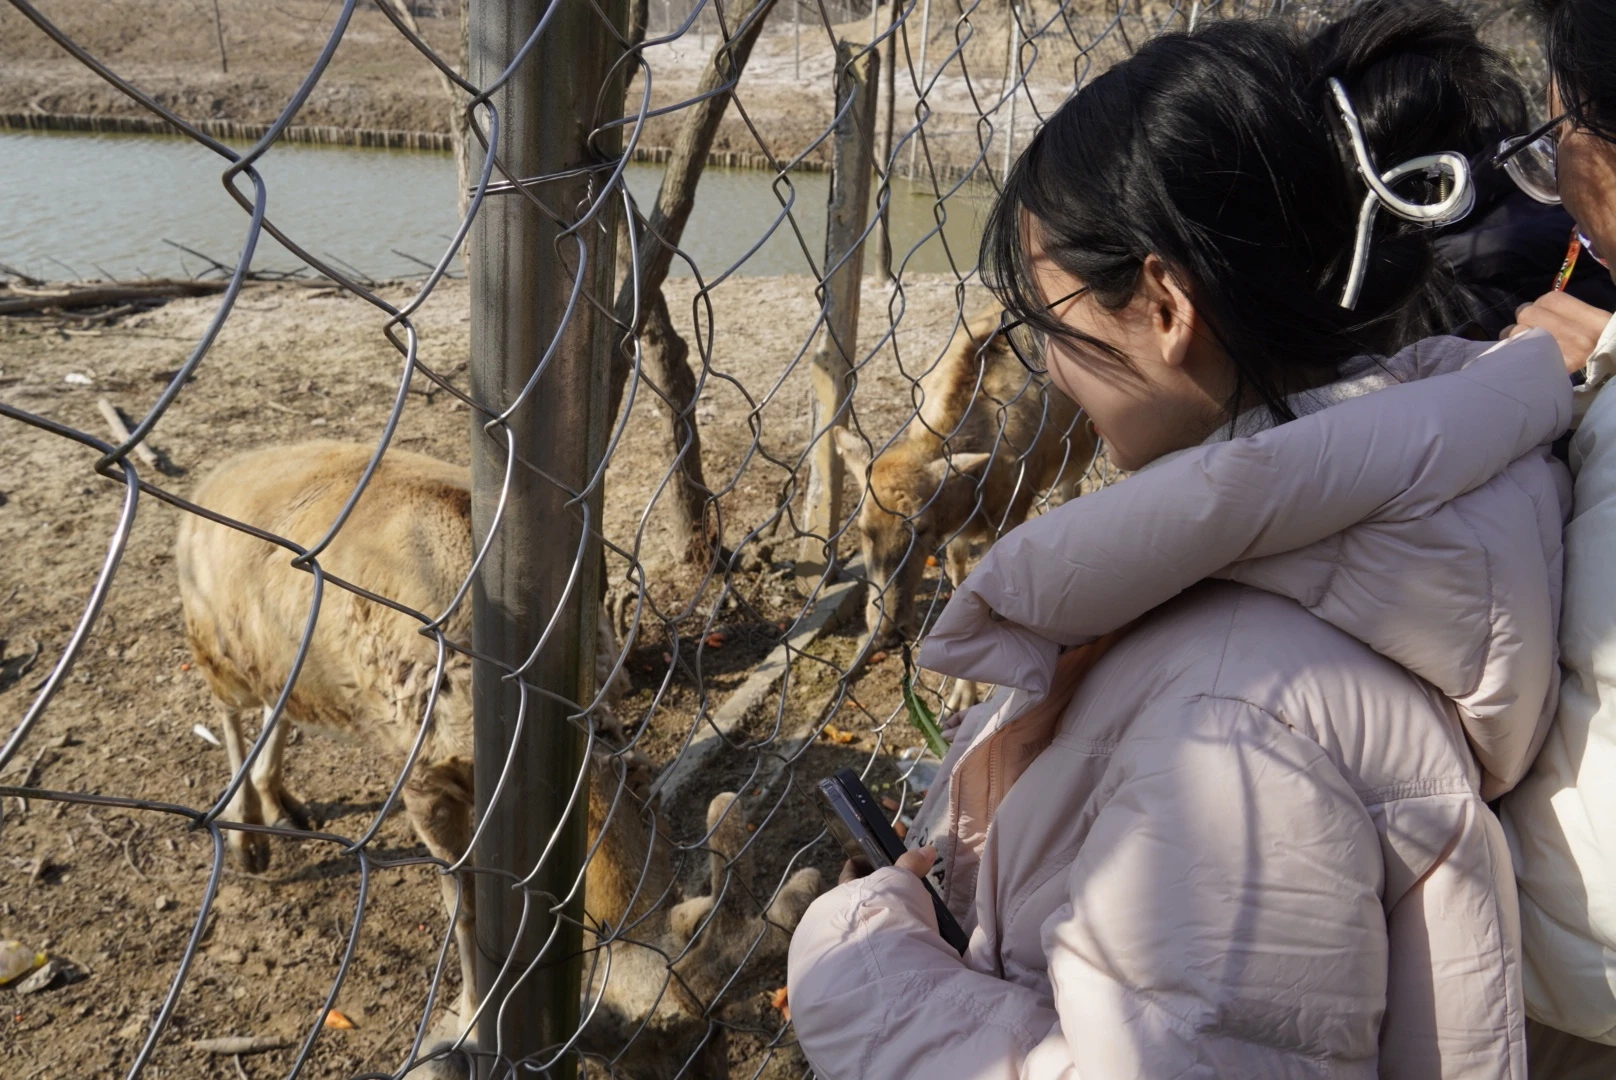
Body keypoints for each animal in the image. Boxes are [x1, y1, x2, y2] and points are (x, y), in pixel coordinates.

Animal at [175, 440, 821, 1079]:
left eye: (718, 1029)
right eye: (645, 1043)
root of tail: (213, 478)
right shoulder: (421, 773)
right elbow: (463, 909)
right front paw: (473, 1017)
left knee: (279, 703)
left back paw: (282, 803)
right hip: (209, 641)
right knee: (230, 711)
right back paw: (247, 837)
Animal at [834, 307, 1096, 712]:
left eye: (921, 528)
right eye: (863, 529)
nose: (889, 633)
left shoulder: (1011, 513)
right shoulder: (958, 537)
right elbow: (959, 594)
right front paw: (961, 693)